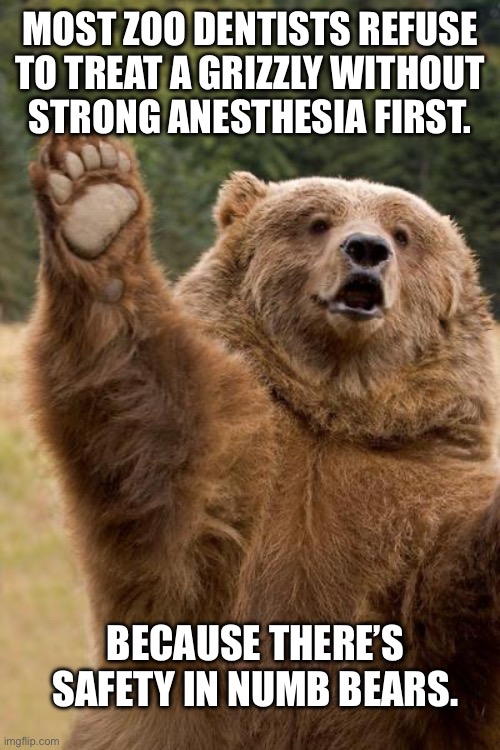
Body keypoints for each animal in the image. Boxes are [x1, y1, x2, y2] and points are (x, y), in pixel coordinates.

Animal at [27, 133, 500, 750]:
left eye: (403, 233)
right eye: (318, 221)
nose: (366, 250)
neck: (333, 413)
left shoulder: (415, 494)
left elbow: (453, 598)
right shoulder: (237, 479)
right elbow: (150, 417)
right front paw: (94, 196)